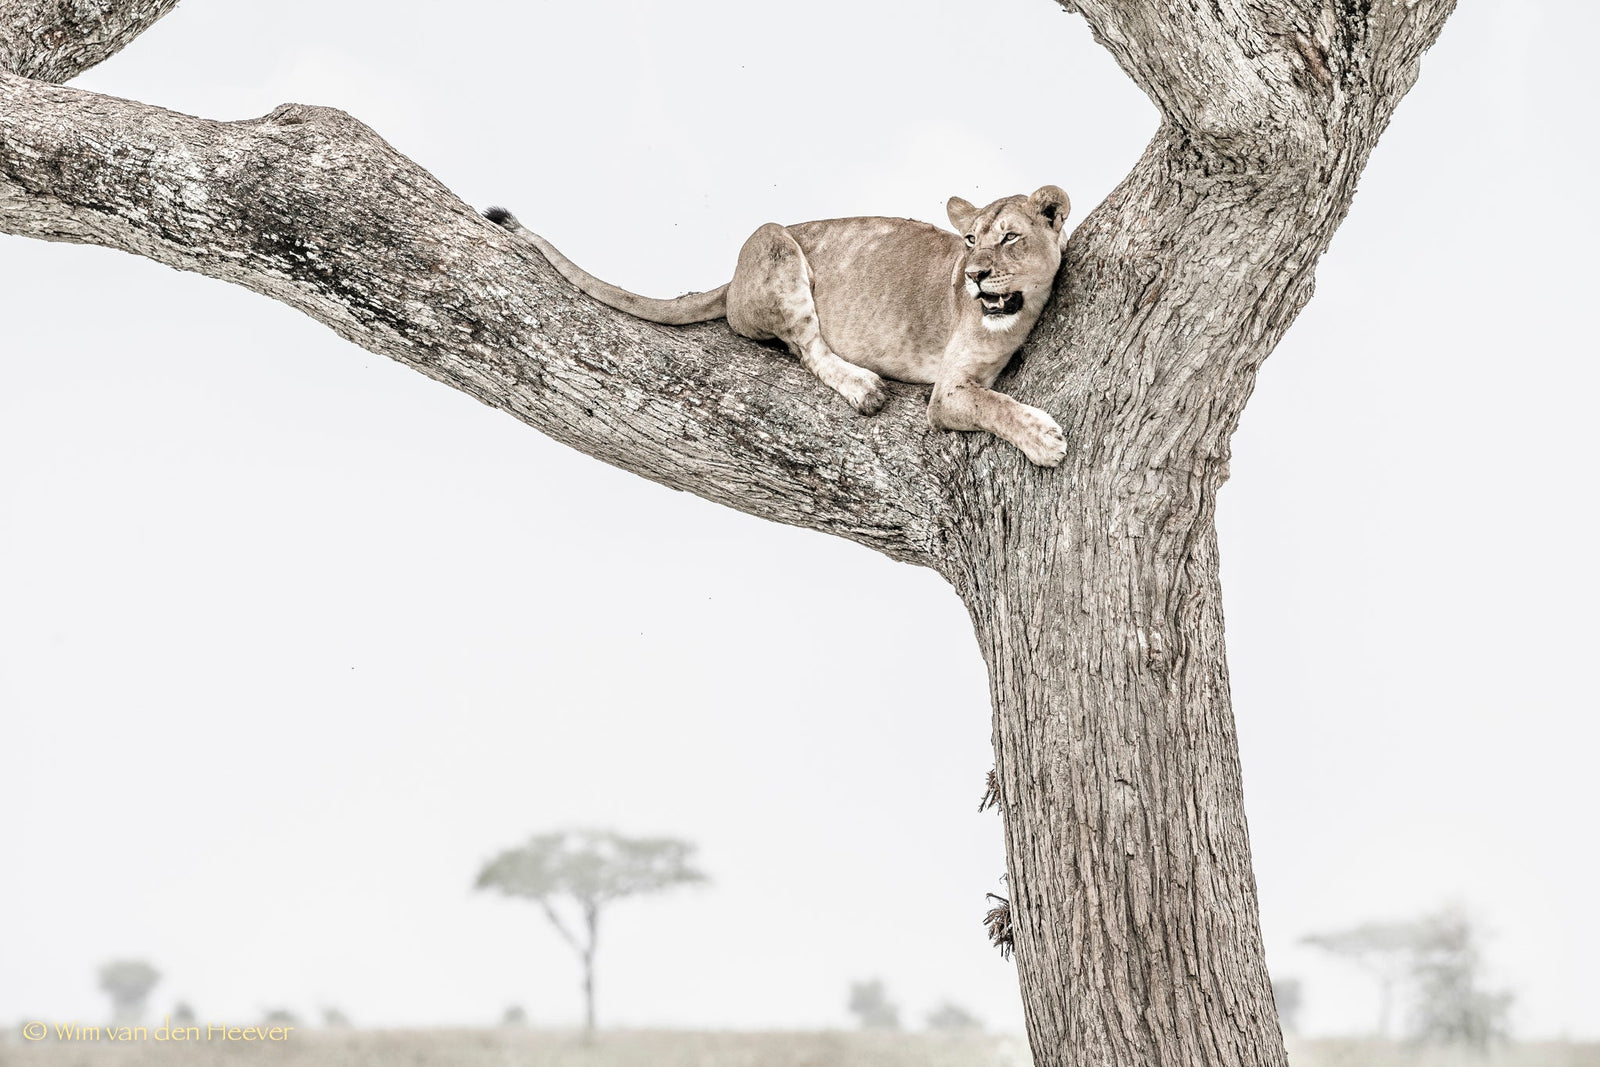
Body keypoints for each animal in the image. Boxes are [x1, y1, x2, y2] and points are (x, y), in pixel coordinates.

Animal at [484, 185, 1071, 466]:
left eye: (1010, 237)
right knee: (807, 347)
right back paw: (864, 387)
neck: (1020, 311)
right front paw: (1044, 439)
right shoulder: (947, 393)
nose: (974, 275)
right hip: (774, 241)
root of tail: (731, 280)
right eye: (970, 240)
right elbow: (989, 402)